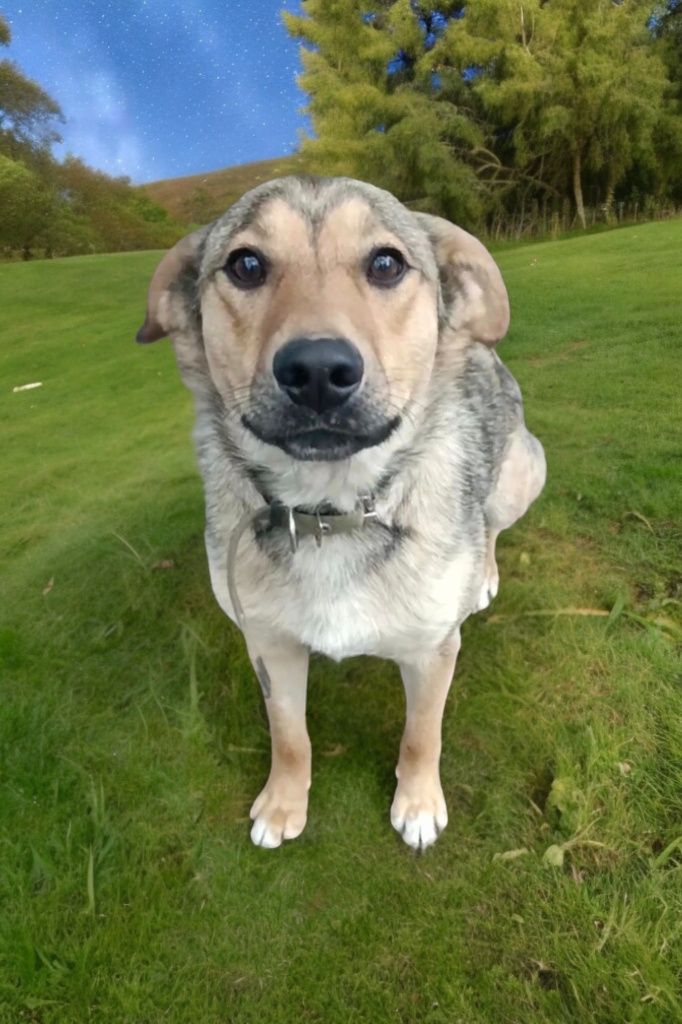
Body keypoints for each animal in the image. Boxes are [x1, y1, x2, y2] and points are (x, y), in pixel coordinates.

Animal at [135, 178, 544, 856]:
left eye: (386, 263)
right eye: (246, 265)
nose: (318, 371)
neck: (331, 511)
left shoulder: (432, 650)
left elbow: (421, 735)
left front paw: (417, 805)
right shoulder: (268, 644)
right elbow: (289, 736)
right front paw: (283, 804)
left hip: (520, 476)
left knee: (490, 521)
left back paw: (482, 575)